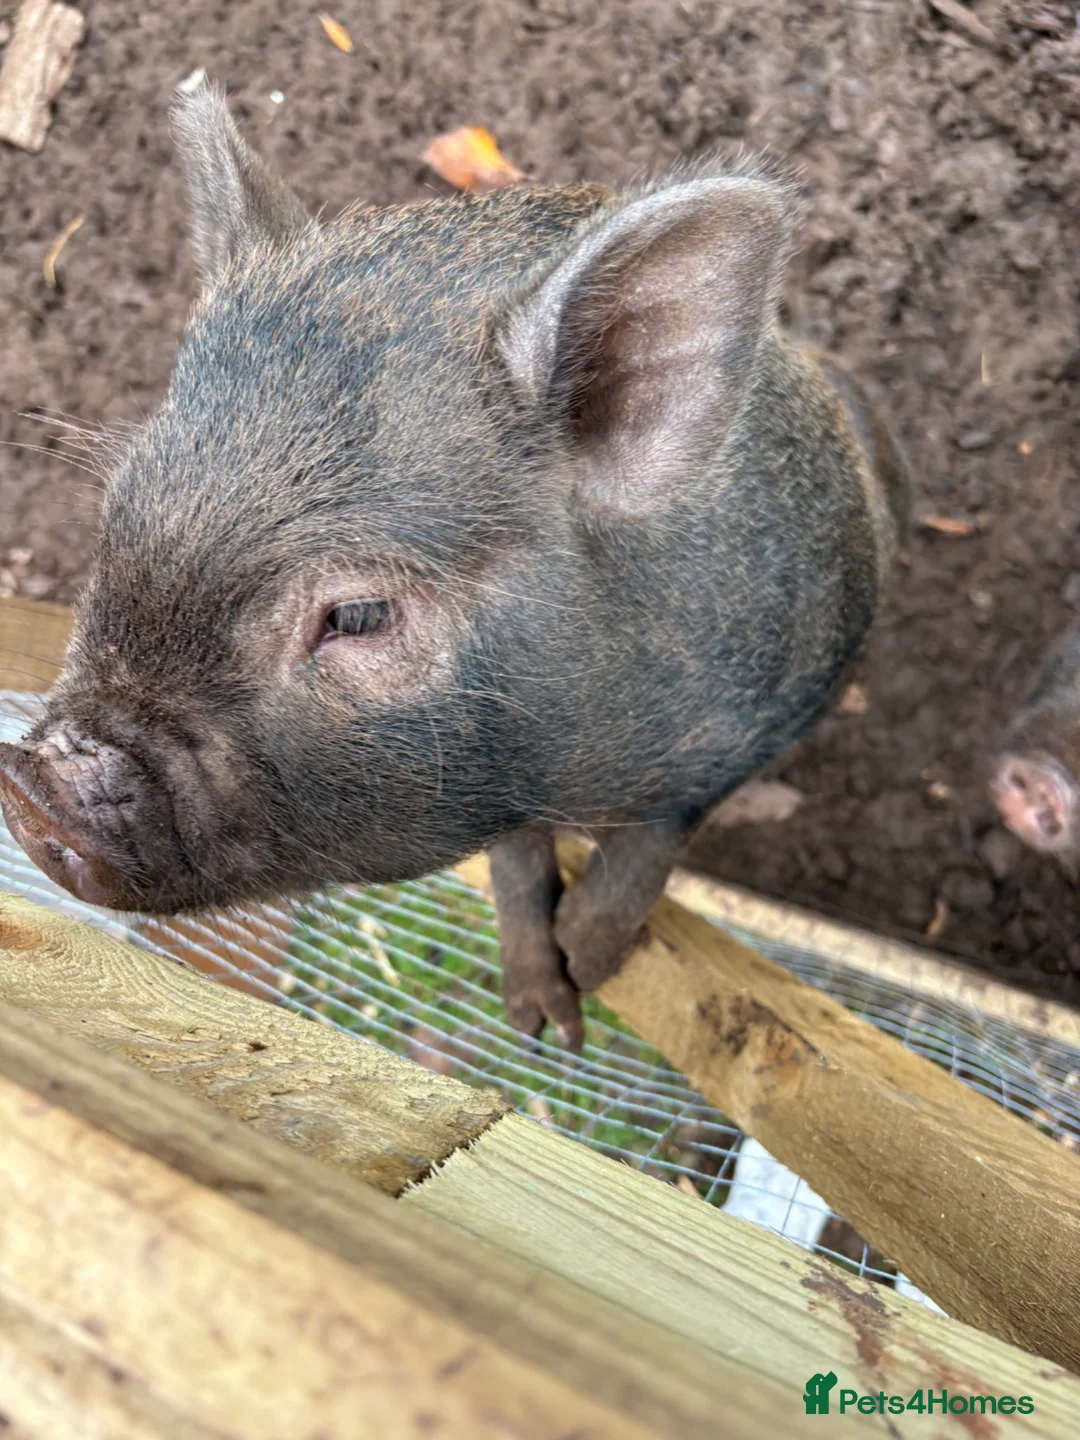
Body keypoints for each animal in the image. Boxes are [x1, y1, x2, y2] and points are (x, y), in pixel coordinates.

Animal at [0, 80, 909, 1047]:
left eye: (359, 614)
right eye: (116, 512)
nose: (28, 785)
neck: (573, 774)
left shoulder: (770, 710)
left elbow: (653, 841)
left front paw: (579, 992)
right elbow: (514, 859)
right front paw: (535, 1020)